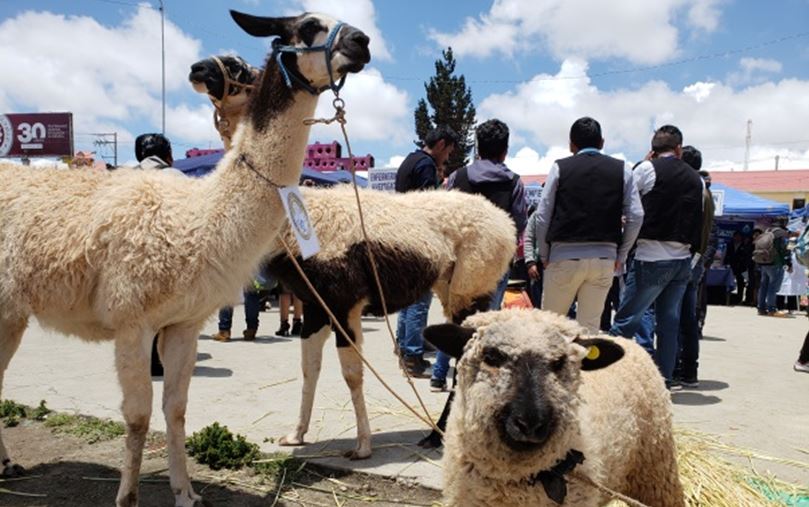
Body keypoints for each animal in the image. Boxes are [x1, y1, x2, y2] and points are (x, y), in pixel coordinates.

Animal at [0, 9, 370, 506]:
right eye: (310, 25)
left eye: (241, 66)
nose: (363, 41)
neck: (197, 219)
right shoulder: (132, 318)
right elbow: (137, 415)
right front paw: (127, 497)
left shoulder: (183, 323)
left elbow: (175, 409)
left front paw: (186, 493)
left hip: (12, 312)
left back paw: (8, 464)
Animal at [266, 186, 516, 460]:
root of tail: (506, 223)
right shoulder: (316, 308)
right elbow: (310, 369)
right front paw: (296, 435)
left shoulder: (345, 305)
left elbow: (352, 374)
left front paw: (362, 447)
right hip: (452, 290)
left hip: (470, 291)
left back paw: (439, 435)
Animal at [422, 310, 680, 507]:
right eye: (491, 356)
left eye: (559, 362)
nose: (530, 423)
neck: (520, 479)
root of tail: (628, 341)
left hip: (656, 473)